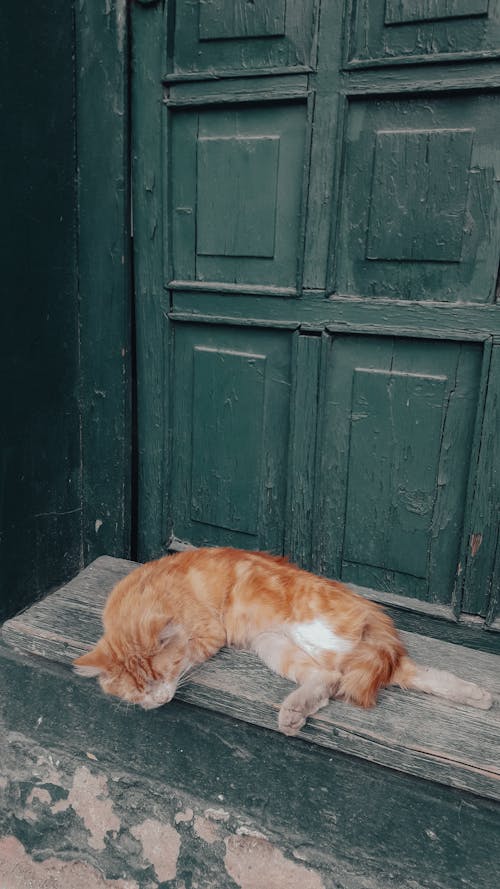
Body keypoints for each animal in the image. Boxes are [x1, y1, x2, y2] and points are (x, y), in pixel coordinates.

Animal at [74, 548, 492, 736]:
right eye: (136, 691)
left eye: (162, 676)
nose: (158, 701)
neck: (143, 599)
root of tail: (369, 607)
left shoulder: (209, 633)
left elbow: (191, 652)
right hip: (277, 646)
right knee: (337, 680)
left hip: (319, 634)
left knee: (359, 672)